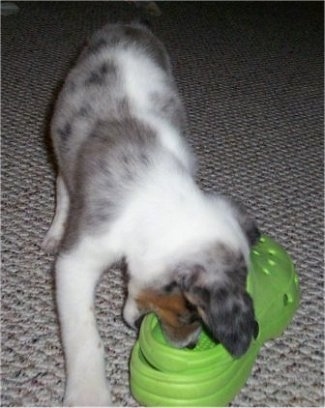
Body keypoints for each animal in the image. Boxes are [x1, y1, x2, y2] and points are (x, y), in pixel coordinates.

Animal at [43, 23, 260, 408]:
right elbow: (82, 333)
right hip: (59, 139)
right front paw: (89, 394)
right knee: (62, 184)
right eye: (190, 312)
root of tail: (125, 25)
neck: (157, 196)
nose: (190, 346)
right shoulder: (79, 259)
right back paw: (54, 231)